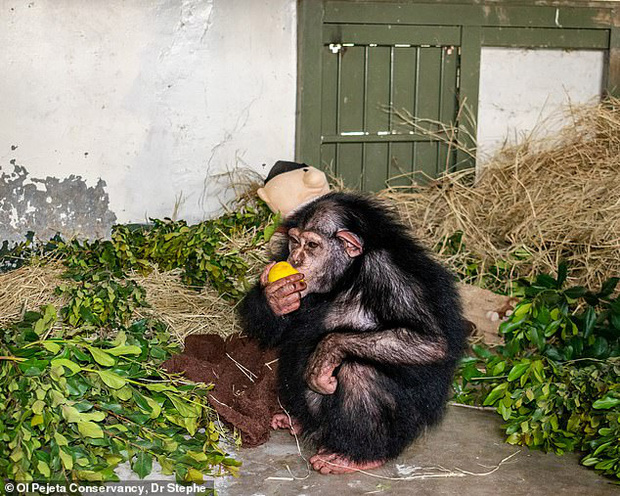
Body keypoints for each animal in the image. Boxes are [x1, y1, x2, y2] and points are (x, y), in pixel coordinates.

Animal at [237, 192, 464, 474]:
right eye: (294, 242)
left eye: (312, 245)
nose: (296, 260)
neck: (348, 275)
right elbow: (272, 329)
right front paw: (276, 297)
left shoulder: (391, 275)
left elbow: (431, 341)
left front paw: (326, 353)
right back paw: (295, 421)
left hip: (402, 428)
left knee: (359, 372)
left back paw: (354, 456)